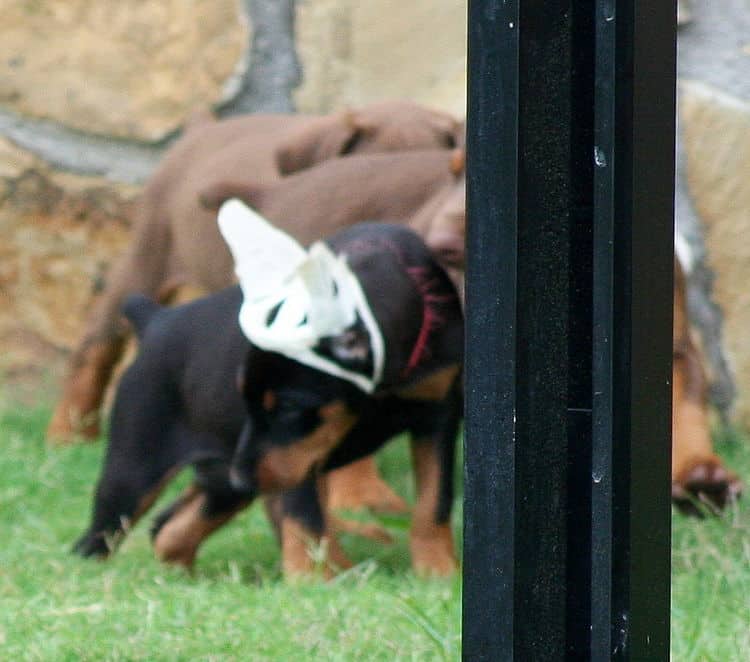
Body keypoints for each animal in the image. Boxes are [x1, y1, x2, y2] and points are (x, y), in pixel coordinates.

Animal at [76, 220, 464, 580]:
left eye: (289, 407)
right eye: (244, 400)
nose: (242, 478)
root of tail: (156, 319)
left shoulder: (439, 415)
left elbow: (434, 500)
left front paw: (439, 572)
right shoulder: (300, 456)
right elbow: (303, 513)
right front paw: (312, 581)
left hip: (221, 479)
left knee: (170, 525)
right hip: (135, 469)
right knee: (101, 534)